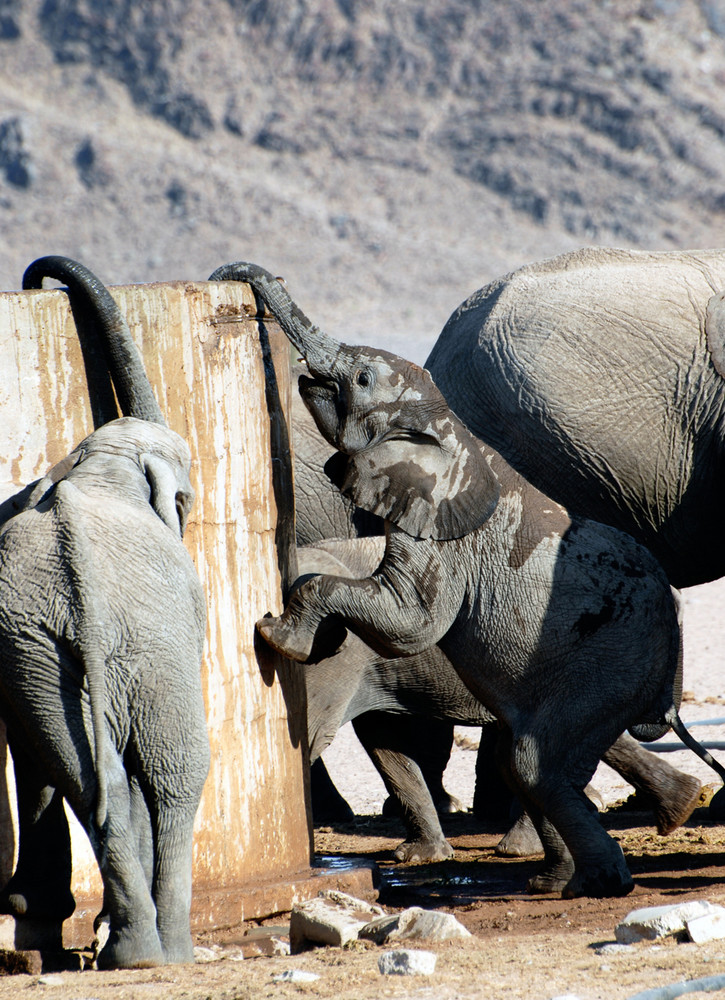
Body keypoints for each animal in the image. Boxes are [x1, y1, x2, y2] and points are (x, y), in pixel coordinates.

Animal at [0, 258, 209, 968]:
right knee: (176, 775)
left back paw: (129, 951)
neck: (100, 463)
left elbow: (33, 757)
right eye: (188, 500)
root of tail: (80, 588)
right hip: (146, 650)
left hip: (41, 656)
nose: (40, 281)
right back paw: (168, 953)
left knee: (90, 780)